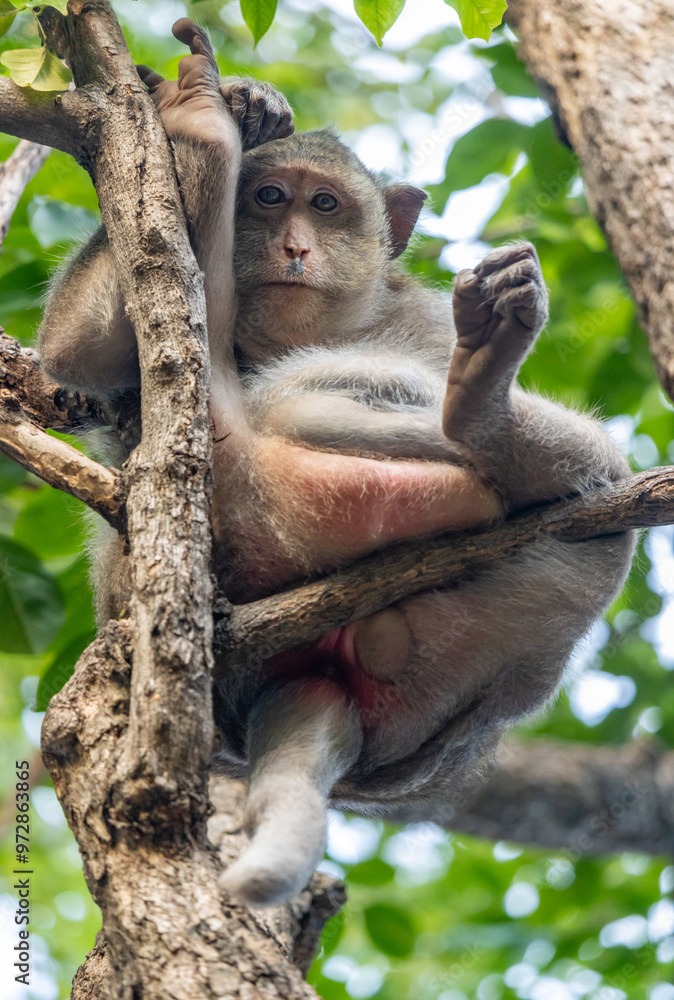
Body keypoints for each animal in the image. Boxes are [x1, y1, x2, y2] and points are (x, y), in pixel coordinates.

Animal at [38, 19, 635, 908]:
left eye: (324, 205)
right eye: (268, 198)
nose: (294, 246)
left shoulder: (419, 315)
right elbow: (74, 353)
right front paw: (239, 107)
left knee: (598, 521)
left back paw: (477, 408)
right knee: (293, 407)